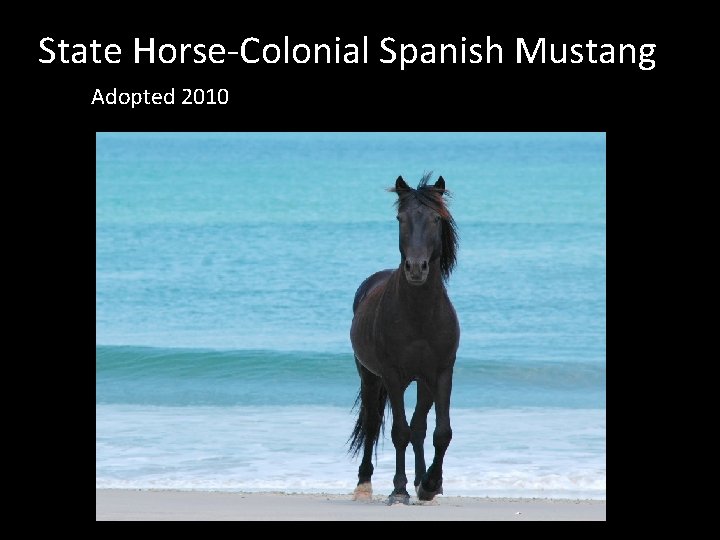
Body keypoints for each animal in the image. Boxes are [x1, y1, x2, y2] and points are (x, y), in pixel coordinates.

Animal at [349, 173, 460, 504]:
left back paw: (423, 480)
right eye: (401, 218)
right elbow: (399, 432)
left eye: (436, 219)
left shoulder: (441, 374)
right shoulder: (392, 375)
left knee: (419, 427)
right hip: (370, 377)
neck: (420, 316)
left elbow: (440, 432)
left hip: (422, 383)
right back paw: (364, 483)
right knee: (373, 423)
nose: (416, 268)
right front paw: (398, 490)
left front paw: (430, 484)